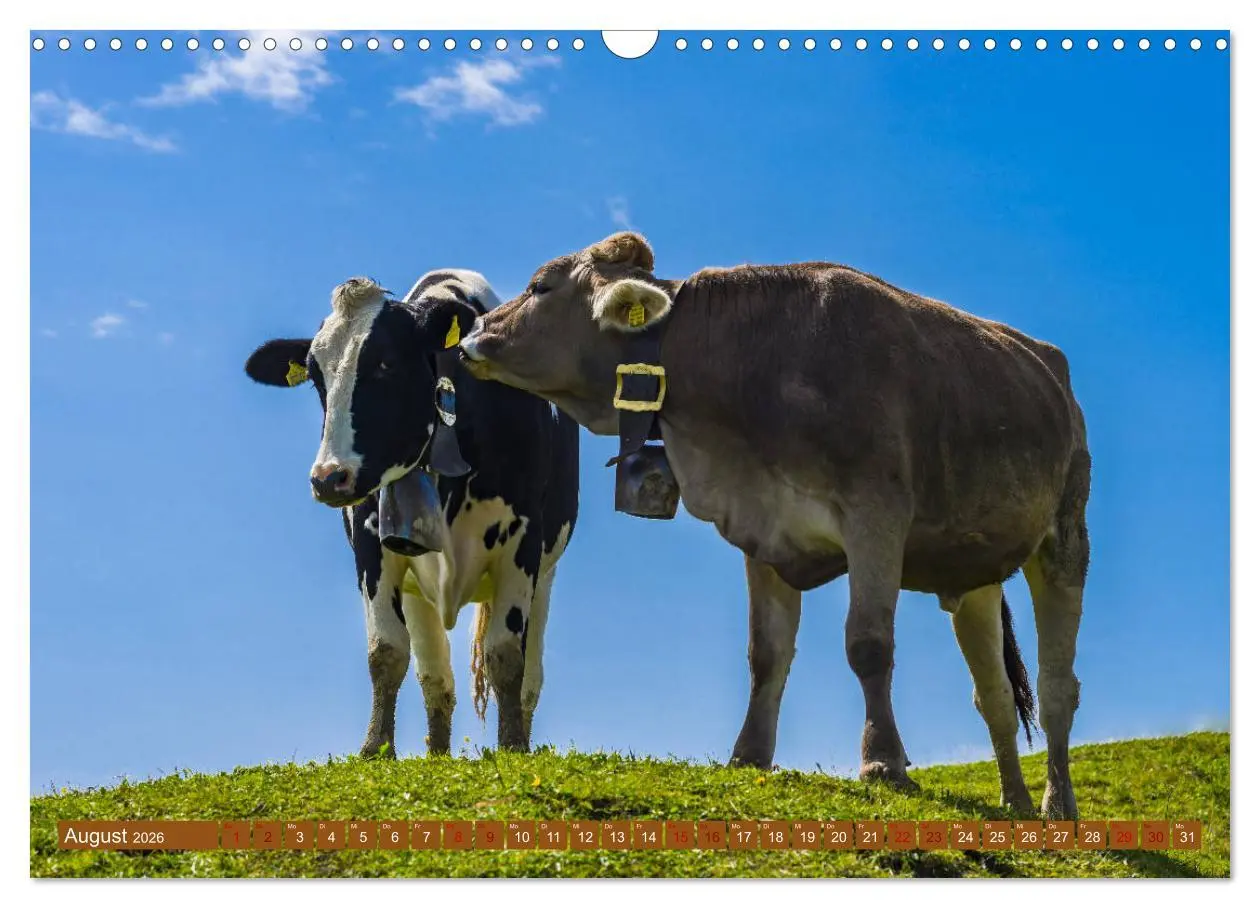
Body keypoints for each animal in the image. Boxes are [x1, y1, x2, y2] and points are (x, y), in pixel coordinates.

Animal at [244, 271, 579, 757]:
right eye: (315, 376)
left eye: (386, 363)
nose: (328, 478)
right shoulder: (373, 547)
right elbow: (386, 651)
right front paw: (375, 747)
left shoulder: (523, 541)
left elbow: (504, 655)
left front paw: (513, 746)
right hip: (417, 585)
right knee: (436, 677)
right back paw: (436, 753)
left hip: (546, 572)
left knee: (530, 676)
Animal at [459, 232, 1090, 819]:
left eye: (540, 286)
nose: (470, 337)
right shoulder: (764, 527)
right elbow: (766, 654)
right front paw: (748, 756)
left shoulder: (877, 515)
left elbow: (868, 644)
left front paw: (883, 763)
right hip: (977, 570)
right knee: (996, 694)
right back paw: (1016, 802)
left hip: (1065, 535)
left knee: (1058, 688)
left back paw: (1059, 806)